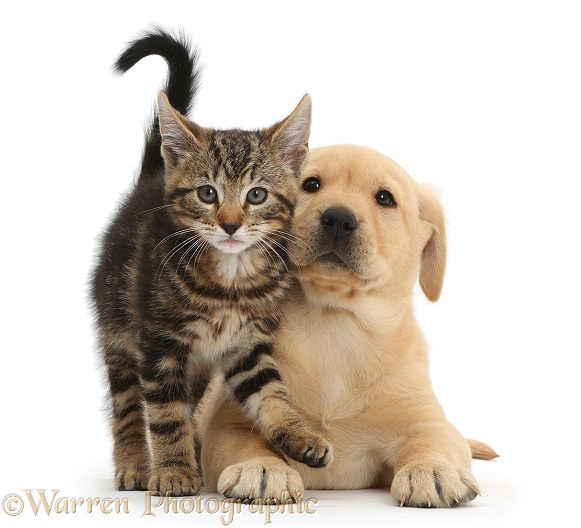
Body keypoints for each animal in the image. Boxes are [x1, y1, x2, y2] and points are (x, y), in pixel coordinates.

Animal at [93, 29, 334, 500]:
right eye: (207, 193)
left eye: (256, 195)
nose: (230, 223)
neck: (231, 279)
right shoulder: (160, 343)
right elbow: (164, 412)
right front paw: (172, 471)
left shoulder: (249, 345)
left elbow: (271, 393)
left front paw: (300, 436)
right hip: (119, 328)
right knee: (127, 402)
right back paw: (135, 463)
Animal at [198, 144, 494, 508]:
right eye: (310, 184)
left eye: (384, 198)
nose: (339, 218)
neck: (334, 321)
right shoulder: (230, 421)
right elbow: (245, 442)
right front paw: (262, 467)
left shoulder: (427, 421)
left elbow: (434, 441)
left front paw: (433, 470)